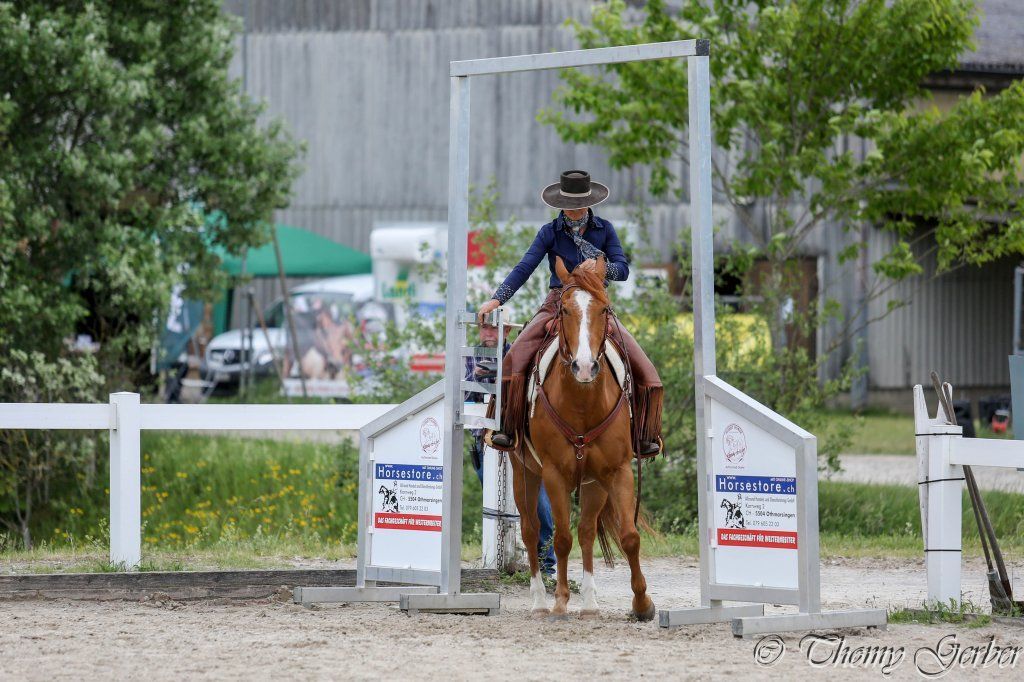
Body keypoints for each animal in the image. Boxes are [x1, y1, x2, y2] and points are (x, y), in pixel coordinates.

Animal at [510, 256, 654, 621]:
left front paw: (642, 604)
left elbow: (629, 537)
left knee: (587, 531)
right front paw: (561, 601)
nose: (585, 367)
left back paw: (589, 604)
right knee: (531, 531)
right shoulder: (554, 474)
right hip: (523, 472)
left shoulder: (617, 471)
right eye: (563, 310)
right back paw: (540, 601)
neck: (583, 402)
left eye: (603, 309)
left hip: (594, 483)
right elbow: (560, 539)